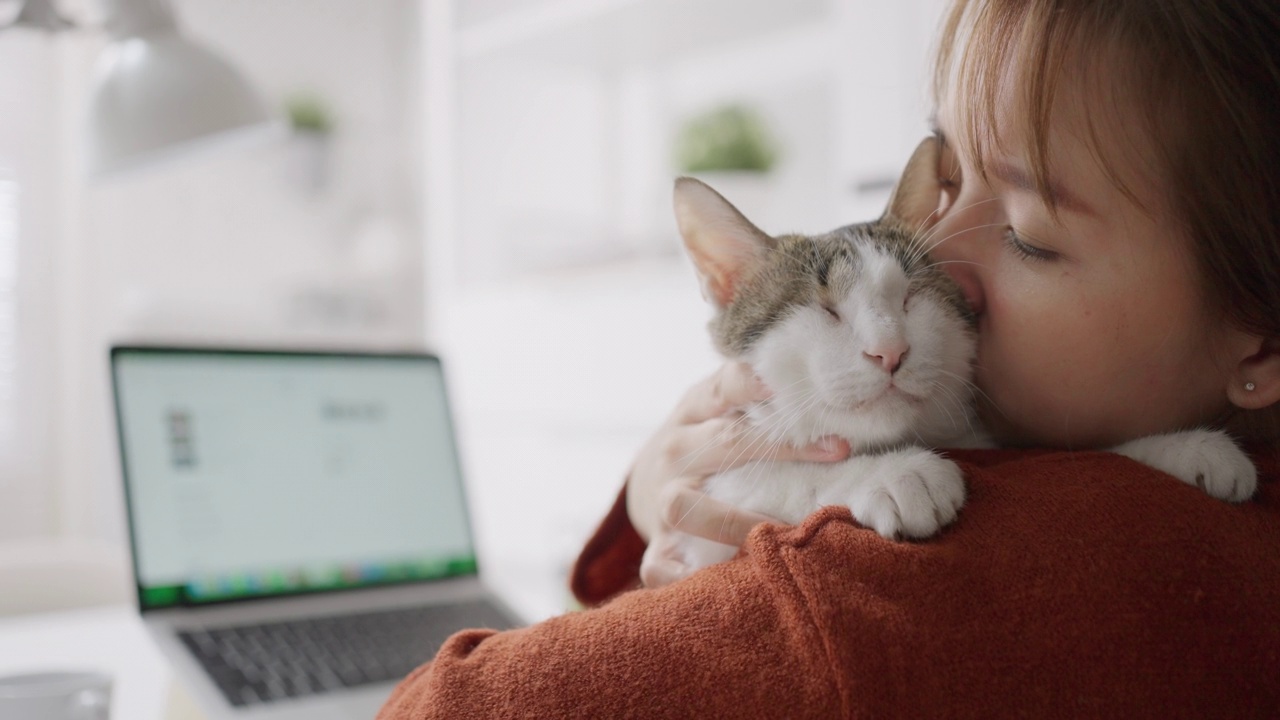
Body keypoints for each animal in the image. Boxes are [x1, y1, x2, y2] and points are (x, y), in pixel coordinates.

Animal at [645, 137, 1254, 579]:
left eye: (911, 298)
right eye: (826, 310)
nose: (890, 351)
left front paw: (1178, 446)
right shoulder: (711, 508)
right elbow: (774, 475)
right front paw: (893, 472)